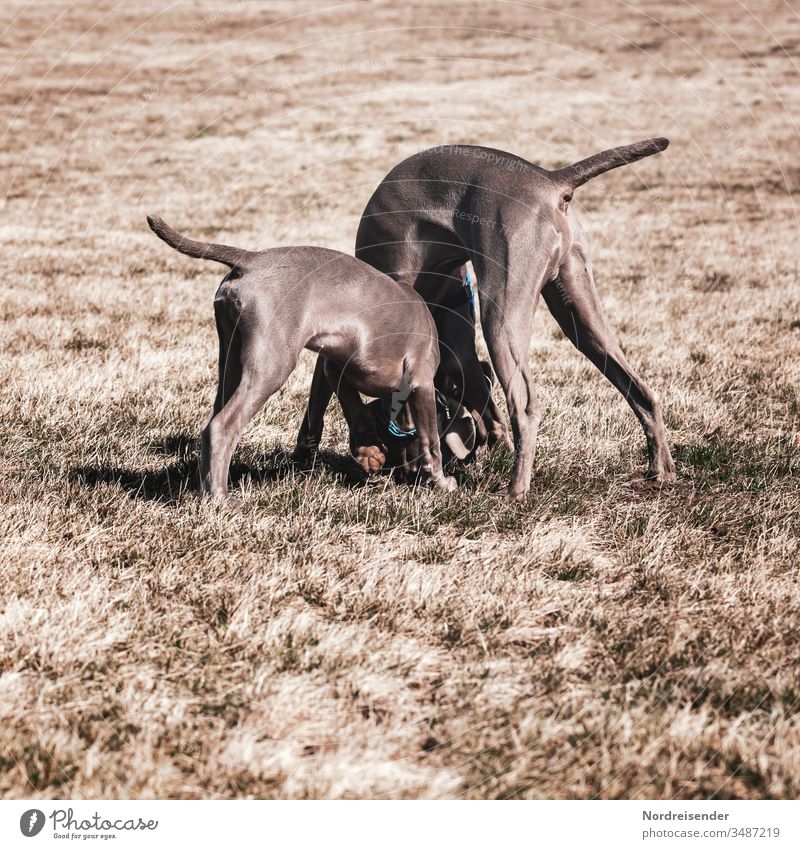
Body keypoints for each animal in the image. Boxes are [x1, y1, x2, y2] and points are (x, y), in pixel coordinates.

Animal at [145, 215, 456, 500]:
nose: (405, 476)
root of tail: (250, 258)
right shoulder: (421, 380)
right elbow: (431, 441)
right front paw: (441, 482)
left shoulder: (336, 363)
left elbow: (355, 409)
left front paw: (369, 452)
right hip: (272, 362)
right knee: (221, 427)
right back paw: (220, 499)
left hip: (230, 357)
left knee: (213, 419)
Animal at [296, 136, 680, 500]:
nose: (408, 474)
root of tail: (550, 180)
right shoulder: (459, 351)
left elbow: (336, 388)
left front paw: (364, 450)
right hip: (579, 312)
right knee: (640, 390)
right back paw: (660, 470)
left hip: (500, 310)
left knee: (525, 406)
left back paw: (515, 490)